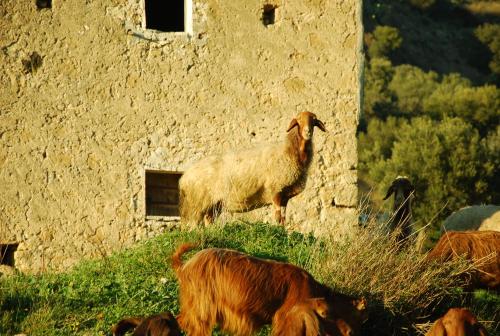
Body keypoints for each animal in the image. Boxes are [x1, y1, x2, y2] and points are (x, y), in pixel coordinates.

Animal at [178, 112, 326, 226]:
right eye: (299, 120)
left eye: (314, 120)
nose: (308, 132)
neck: (288, 151)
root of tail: (184, 178)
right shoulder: (276, 190)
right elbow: (278, 218)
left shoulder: (285, 196)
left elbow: (283, 219)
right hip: (197, 203)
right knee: (192, 225)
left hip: (214, 204)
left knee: (208, 221)